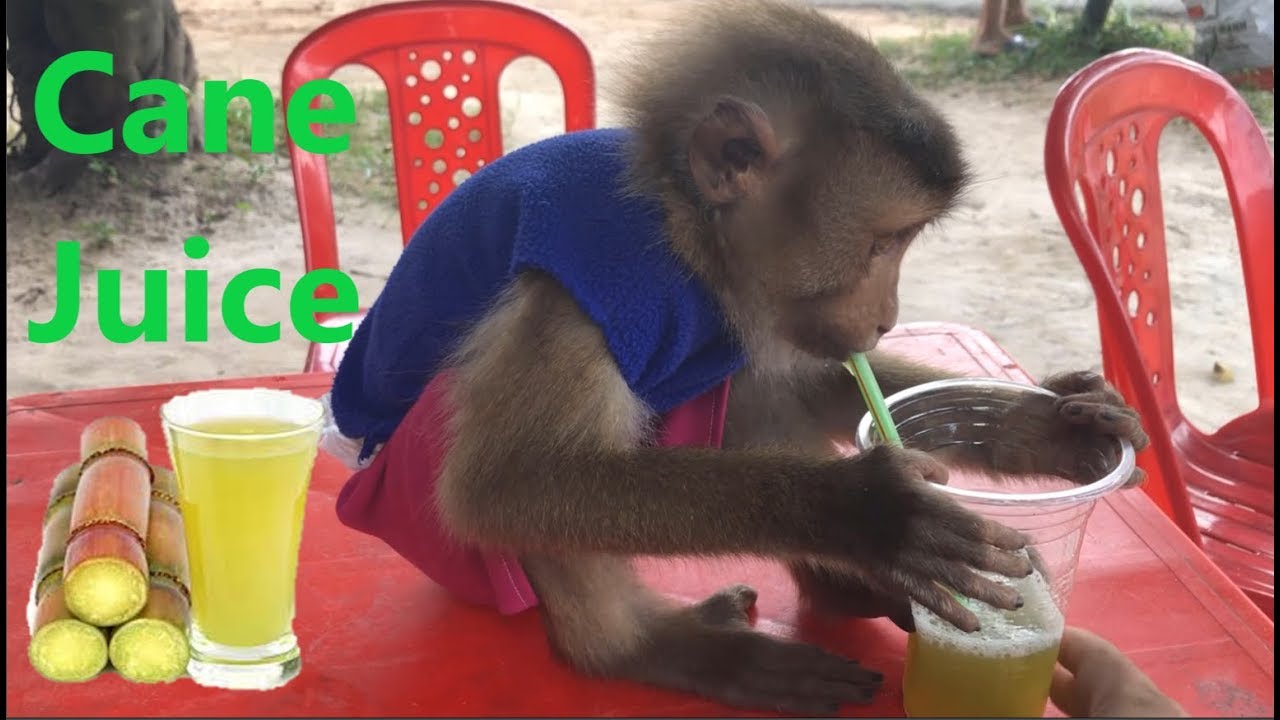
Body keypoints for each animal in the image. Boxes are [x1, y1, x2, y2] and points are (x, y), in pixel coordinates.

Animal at [323, 0, 1151, 715]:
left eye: (905, 243)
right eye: (883, 244)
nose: (886, 317)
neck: (679, 231)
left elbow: (810, 381)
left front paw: (1044, 424)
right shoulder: (582, 285)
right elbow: (504, 483)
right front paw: (862, 510)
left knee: (750, 395)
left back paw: (841, 592)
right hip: (434, 533)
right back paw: (647, 649)